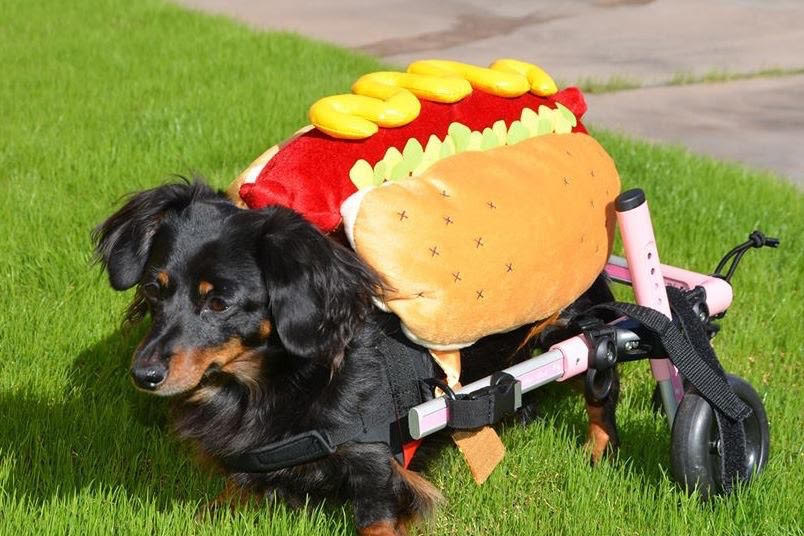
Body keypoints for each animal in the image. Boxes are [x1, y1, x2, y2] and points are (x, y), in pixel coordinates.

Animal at [94, 180, 620, 536]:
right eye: (153, 289)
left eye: (219, 303)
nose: (143, 375)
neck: (273, 384)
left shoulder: (375, 467)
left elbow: (375, 517)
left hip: (586, 329)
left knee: (599, 384)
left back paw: (601, 452)